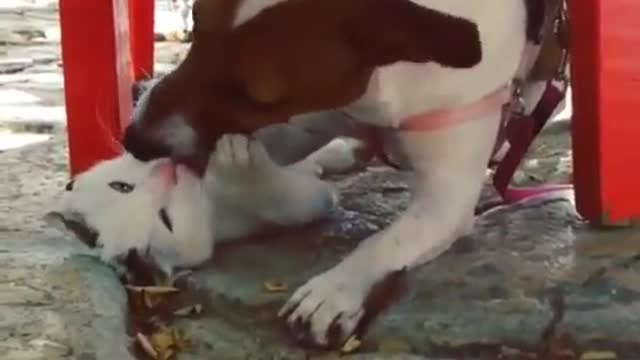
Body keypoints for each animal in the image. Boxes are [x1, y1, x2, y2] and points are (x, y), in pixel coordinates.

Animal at [117, 0, 568, 350]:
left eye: (254, 95)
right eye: (196, 30)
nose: (134, 139)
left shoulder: (446, 200)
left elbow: (383, 242)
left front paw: (332, 292)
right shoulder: (310, 118)